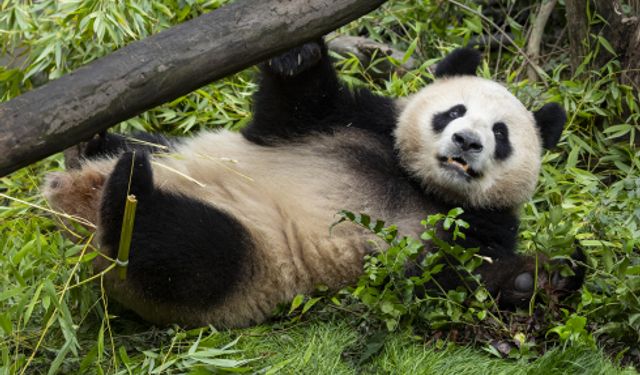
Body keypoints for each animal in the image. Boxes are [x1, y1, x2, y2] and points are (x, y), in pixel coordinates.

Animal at [42, 41, 584, 328]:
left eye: (501, 134)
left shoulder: (477, 226)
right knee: (142, 153)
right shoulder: (355, 122)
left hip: (251, 262)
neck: (420, 183)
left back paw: (127, 197)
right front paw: (298, 55)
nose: (468, 141)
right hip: (172, 153)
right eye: (454, 111)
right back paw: (92, 147)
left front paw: (540, 277)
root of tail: (75, 206)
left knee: (187, 251)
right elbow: (292, 109)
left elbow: (445, 281)